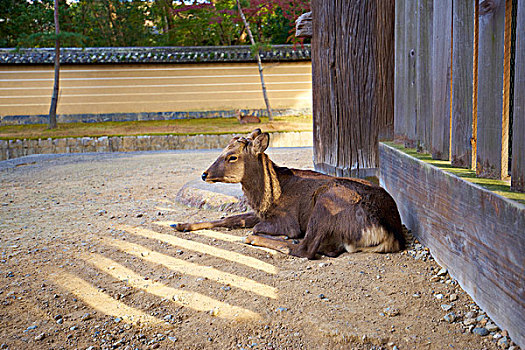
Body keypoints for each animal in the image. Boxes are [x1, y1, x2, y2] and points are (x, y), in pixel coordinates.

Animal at [173, 129, 406, 260]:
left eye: (232, 157)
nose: (204, 174)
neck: (267, 199)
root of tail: (389, 234)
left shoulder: (287, 220)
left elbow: (257, 227)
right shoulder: (260, 213)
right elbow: (230, 218)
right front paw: (179, 224)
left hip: (326, 201)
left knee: (305, 250)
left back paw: (257, 240)